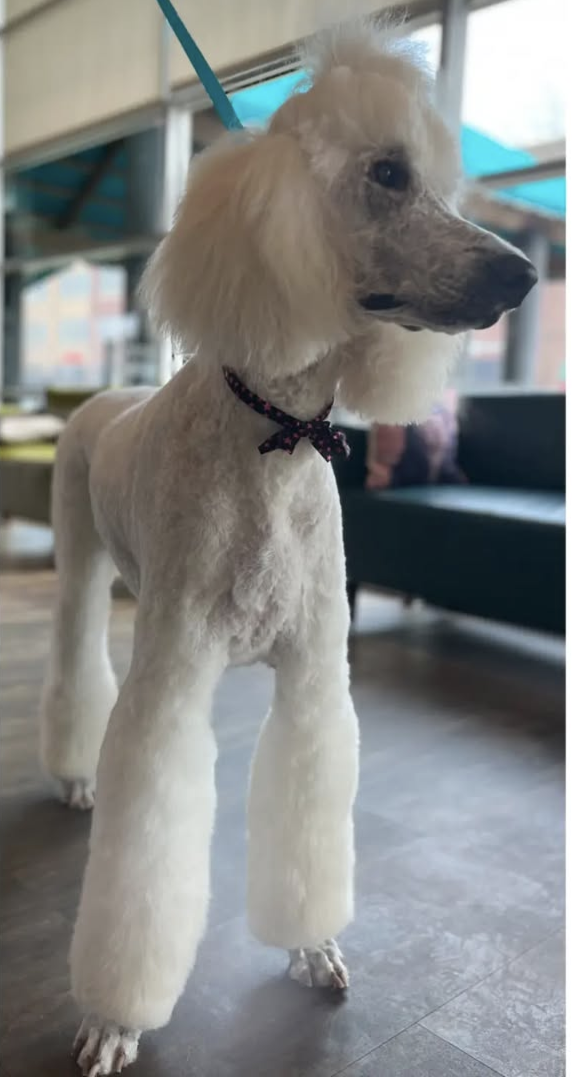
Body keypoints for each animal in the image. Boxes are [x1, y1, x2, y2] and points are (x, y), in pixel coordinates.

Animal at [39, 19, 537, 1075]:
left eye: (437, 182)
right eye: (386, 173)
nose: (521, 275)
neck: (275, 433)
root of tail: (99, 401)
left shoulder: (314, 675)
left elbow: (309, 813)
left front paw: (312, 947)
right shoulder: (172, 682)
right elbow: (144, 852)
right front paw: (114, 1016)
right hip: (81, 568)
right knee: (73, 663)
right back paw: (74, 775)